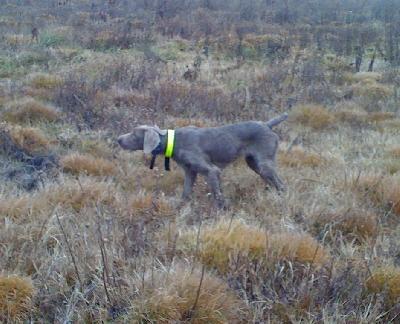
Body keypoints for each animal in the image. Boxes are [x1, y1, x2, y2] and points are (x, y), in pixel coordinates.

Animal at [118, 114, 288, 208]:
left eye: (134, 133)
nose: (118, 139)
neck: (174, 141)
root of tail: (267, 124)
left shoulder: (211, 170)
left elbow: (217, 196)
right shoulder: (190, 172)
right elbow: (185, 193)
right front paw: (179, 208)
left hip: (264, 164)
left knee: (282, 184)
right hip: (254, 164)